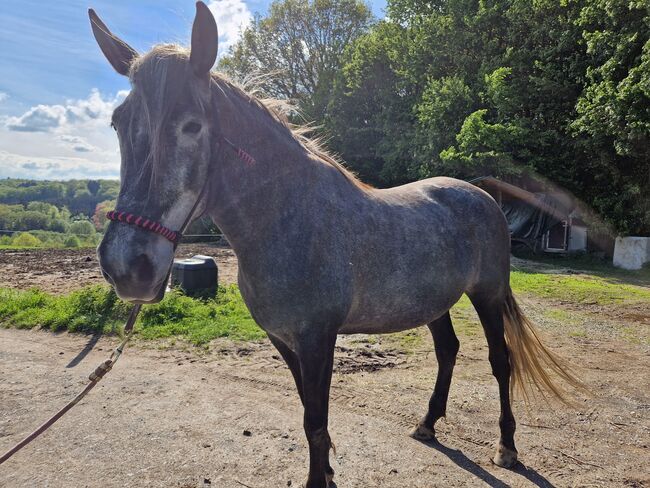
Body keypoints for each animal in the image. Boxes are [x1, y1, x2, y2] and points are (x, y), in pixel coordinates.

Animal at [90, 2, 576, 484]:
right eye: (116, 123)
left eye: (192, 126)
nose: (128, 267)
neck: (287, 220)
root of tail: (483, 197)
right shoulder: (284, 340)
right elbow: (311, 415)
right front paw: (325, 472)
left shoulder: (317, 339)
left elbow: (316, 420)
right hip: (433, 302)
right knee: (448, 350)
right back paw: (427, 425)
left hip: (487, 294)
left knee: (500, 360)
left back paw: (507, 447)